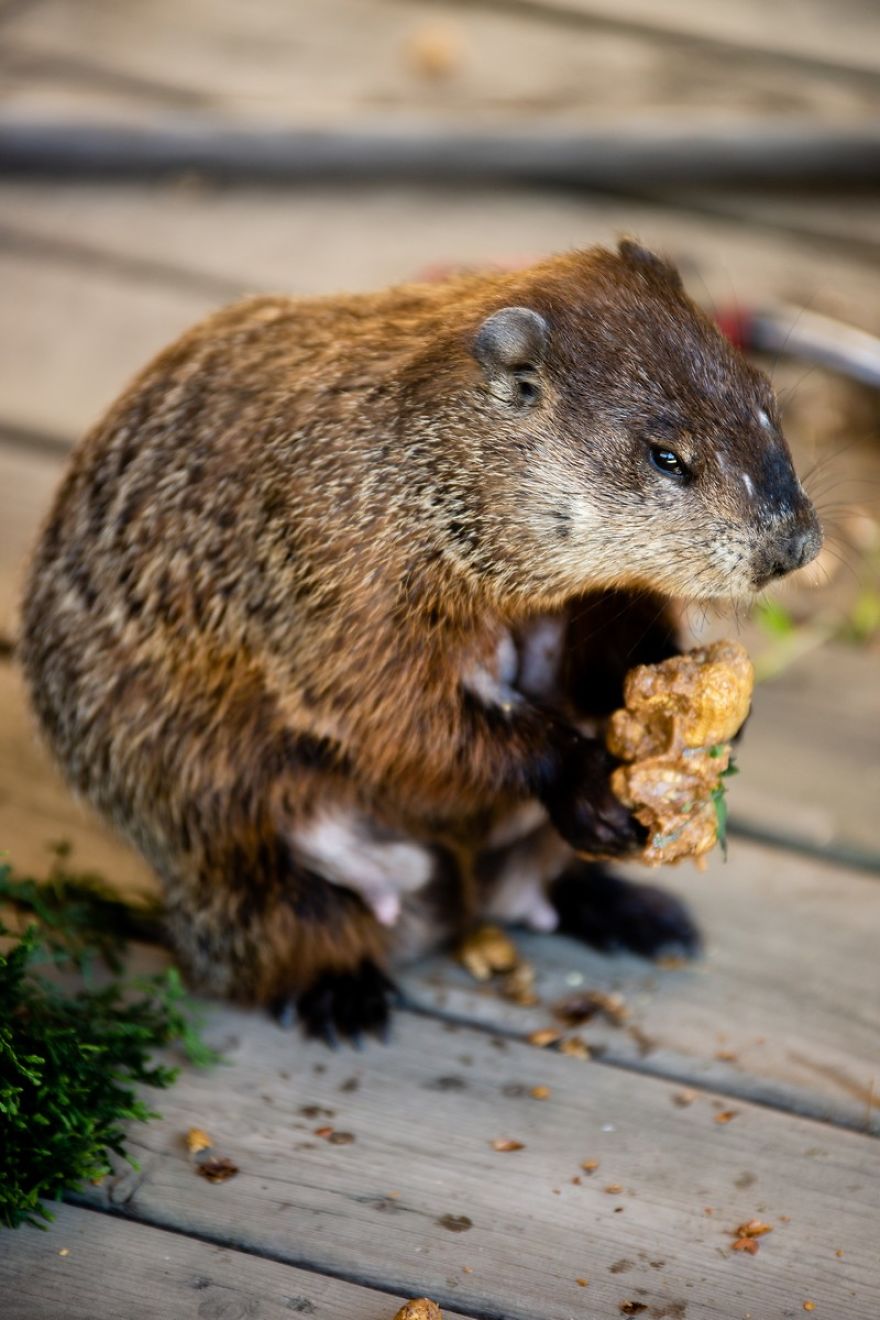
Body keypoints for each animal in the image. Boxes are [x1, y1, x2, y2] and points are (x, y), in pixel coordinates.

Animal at [20, 240, 821, 1042]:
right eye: (666, 457)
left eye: (766, 398)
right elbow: (384, 701)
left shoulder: (577, 590)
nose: (799, 546)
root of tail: (457, 907)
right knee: (281, 918)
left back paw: (623, 907)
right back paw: (341, 991)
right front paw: (581, 774)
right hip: (227, 851)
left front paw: (697, 702)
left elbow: (602, 634)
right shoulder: (342, 559)